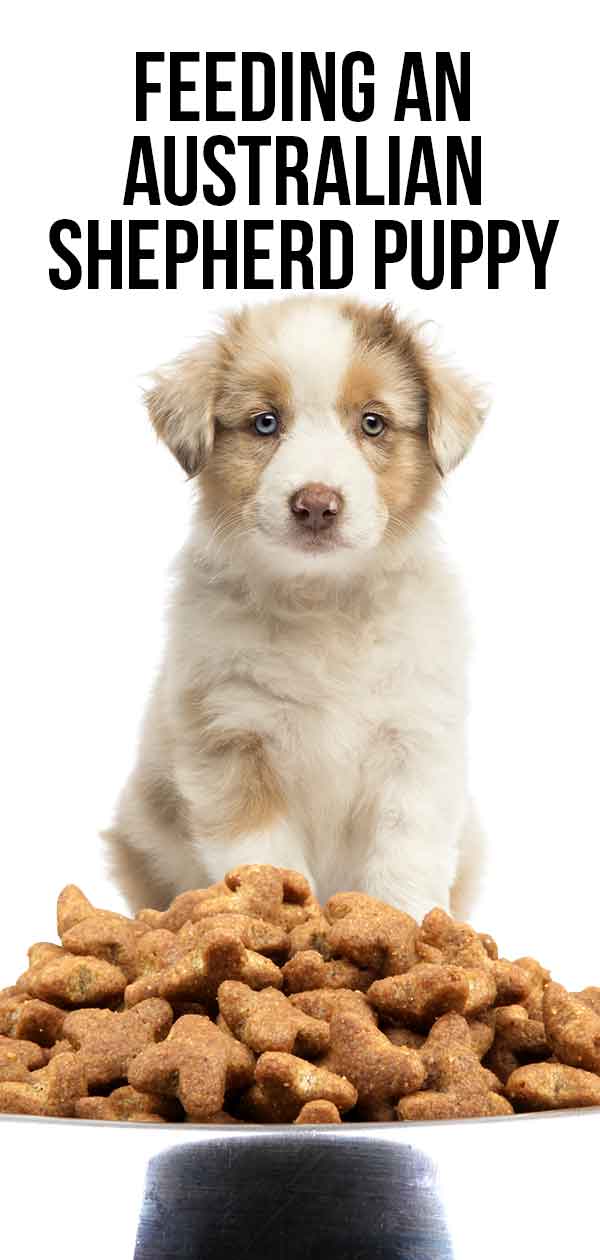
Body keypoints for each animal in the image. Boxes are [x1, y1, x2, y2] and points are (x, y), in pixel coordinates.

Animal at [105, 299, 484, 922]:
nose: (316, 505)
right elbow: (266, 859)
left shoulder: (417, 743)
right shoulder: (230, 739)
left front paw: (410, 930)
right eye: (265, 422)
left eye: (373, 423)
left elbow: (406, 856)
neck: (322, 603)